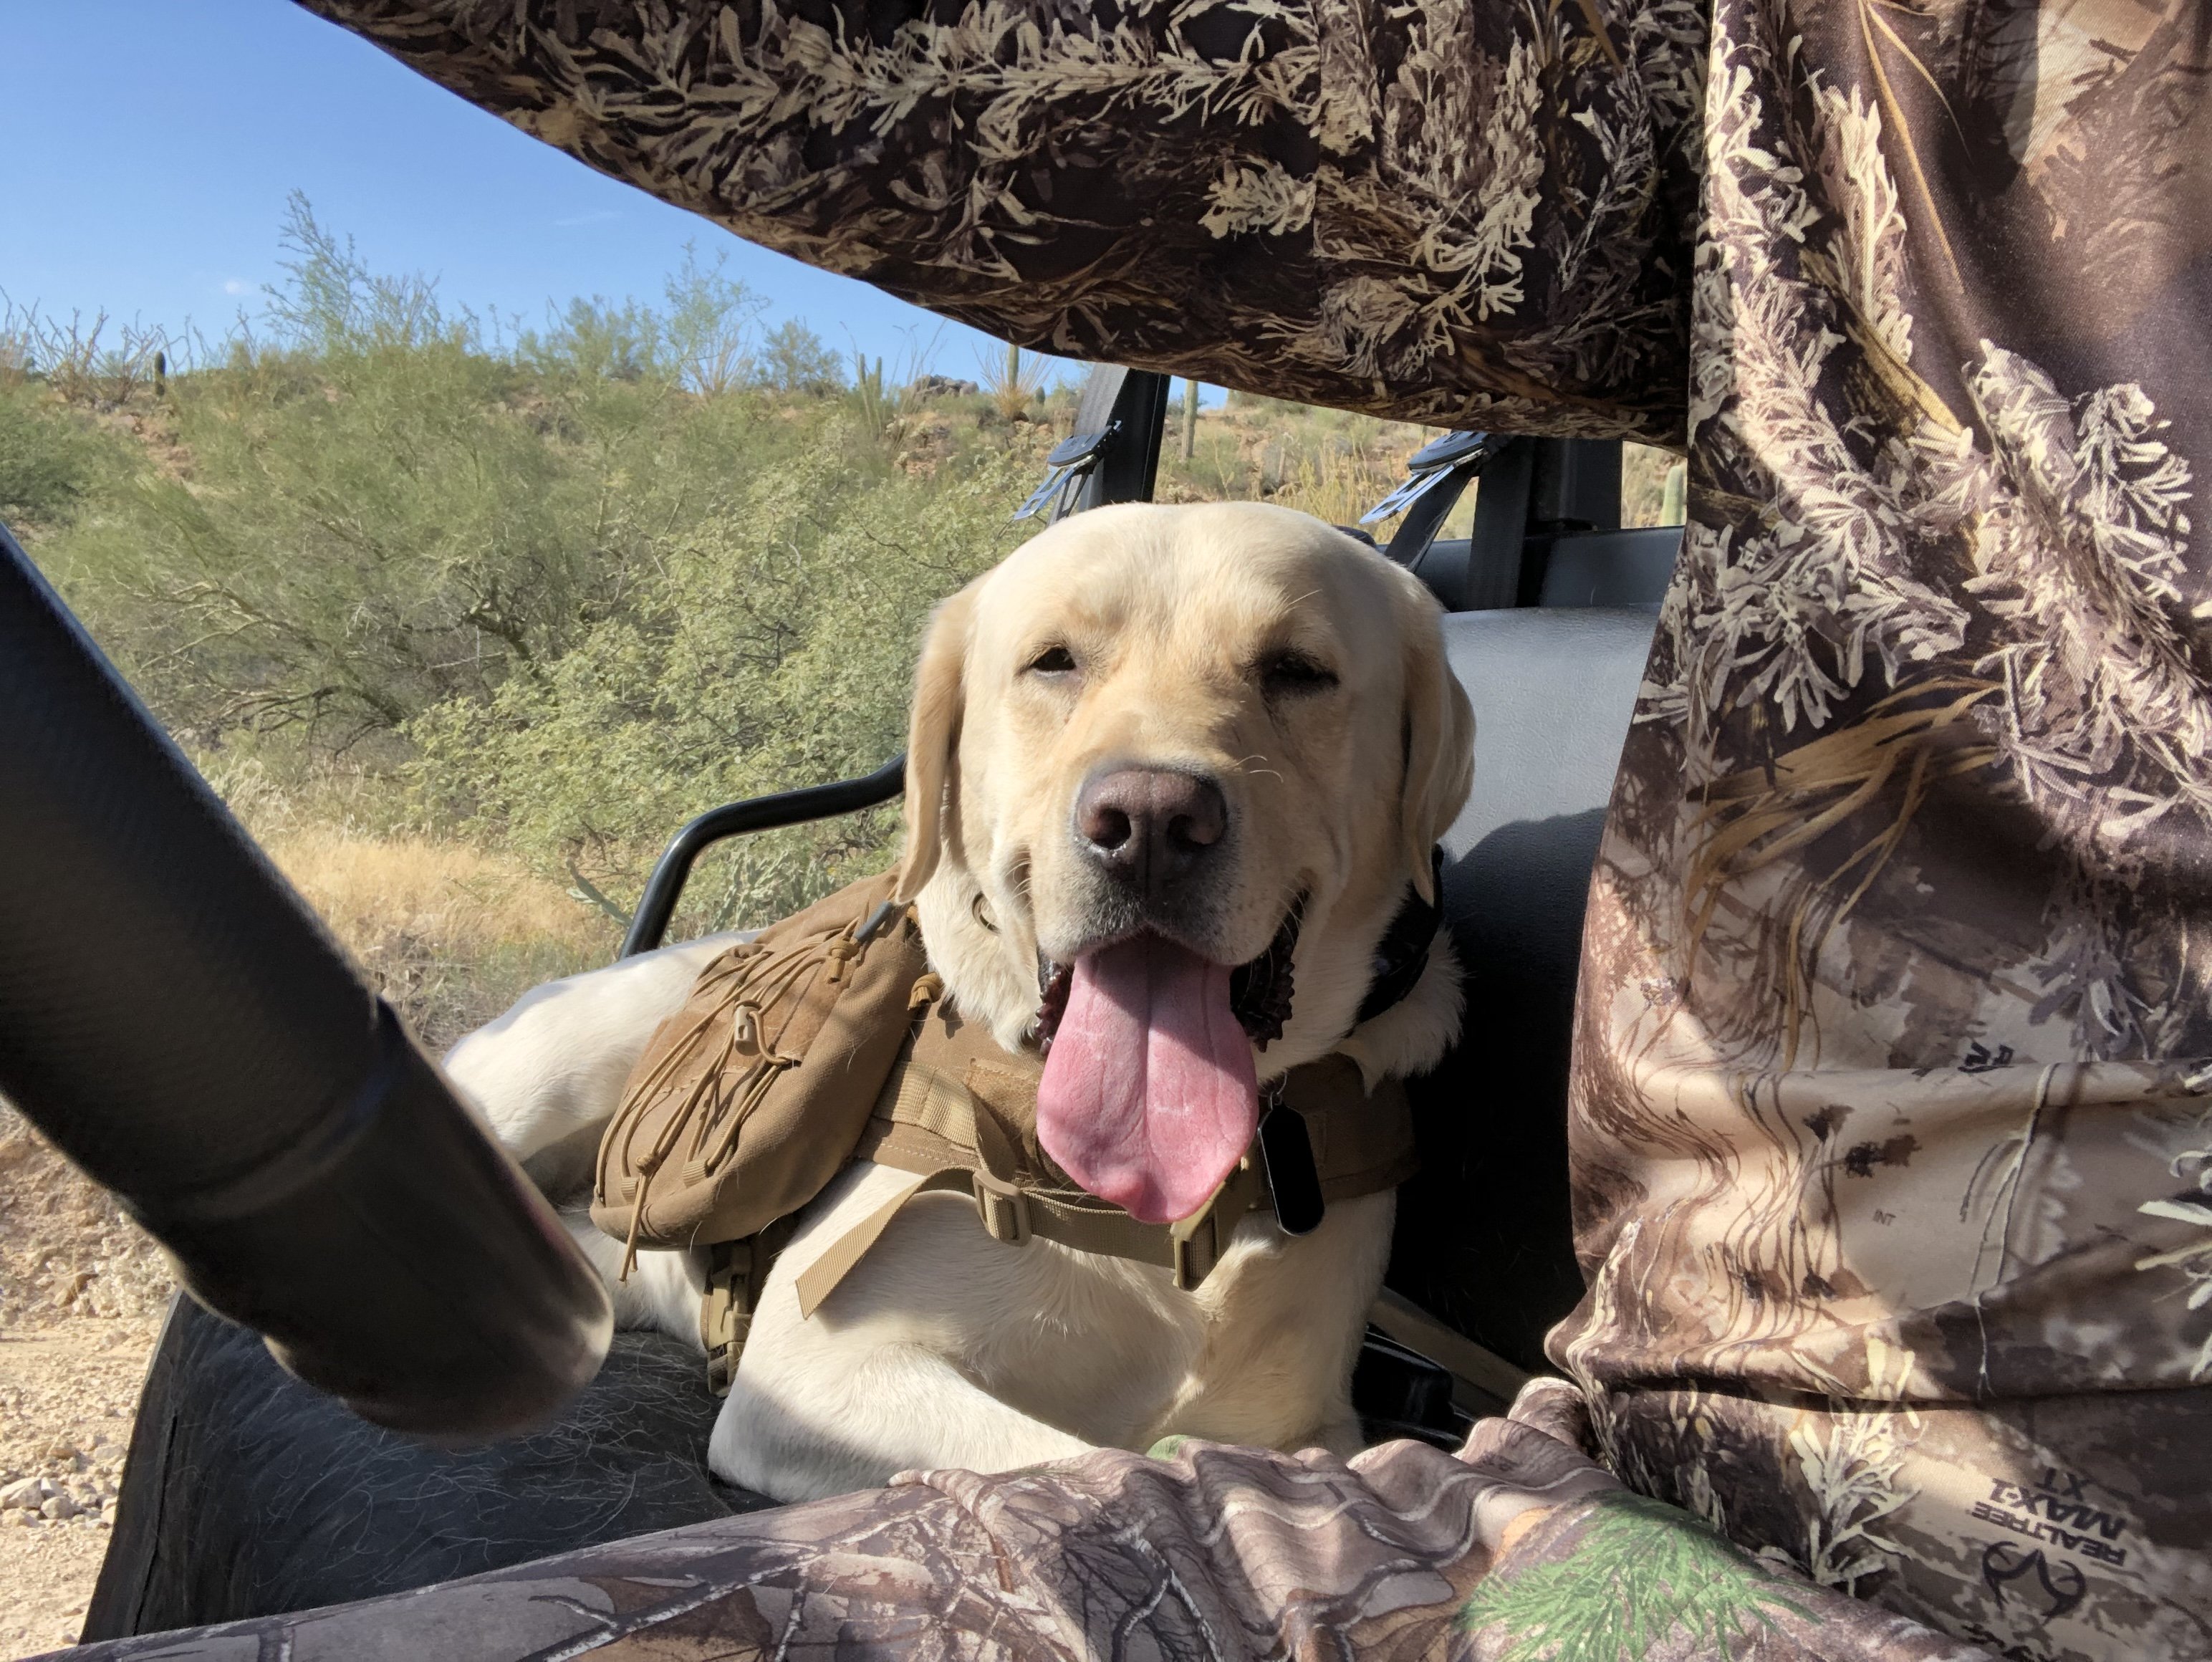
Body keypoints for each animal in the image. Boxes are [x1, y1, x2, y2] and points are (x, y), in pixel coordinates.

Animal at [448, 501, 1475, 1502]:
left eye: (1297, 671)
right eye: (1053, 661)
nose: (1149, 821)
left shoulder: (1313, 1426)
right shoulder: (813, 1377)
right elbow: (1082, 1455)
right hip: (552, 1068)